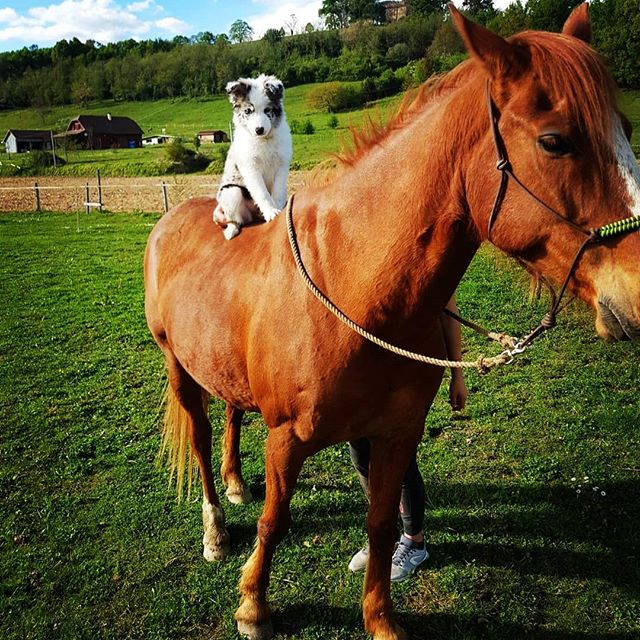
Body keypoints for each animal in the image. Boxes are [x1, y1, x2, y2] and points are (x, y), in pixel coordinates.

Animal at [215, 74, 296, 240]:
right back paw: (231, 230)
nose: (259, 129)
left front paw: (278, 209)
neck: (263, 140)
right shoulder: (250, 167)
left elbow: (277, 191)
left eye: (267, 110)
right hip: (231, 193)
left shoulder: (282, 164)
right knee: (236, 220)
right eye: (248, 111)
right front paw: (271, 211)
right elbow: (262, 192)